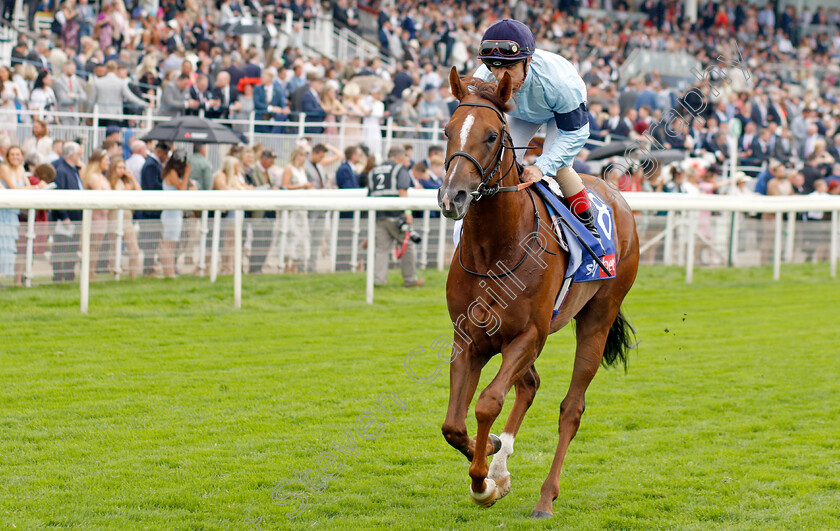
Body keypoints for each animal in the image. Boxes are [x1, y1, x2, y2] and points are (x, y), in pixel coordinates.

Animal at [436, 67, 640, 520]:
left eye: (492, 135)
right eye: (447, 131)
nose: (453, 196)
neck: (496, 248)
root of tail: (616, 197)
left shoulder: (528, 334)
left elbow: (487, 403)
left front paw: (483, 483)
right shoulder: (469, 337)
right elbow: (454, 424)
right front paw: (491, 465)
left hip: (597, 318)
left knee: (571, 408)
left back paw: (546, 497)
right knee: (529, 385)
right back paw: (502, 463)